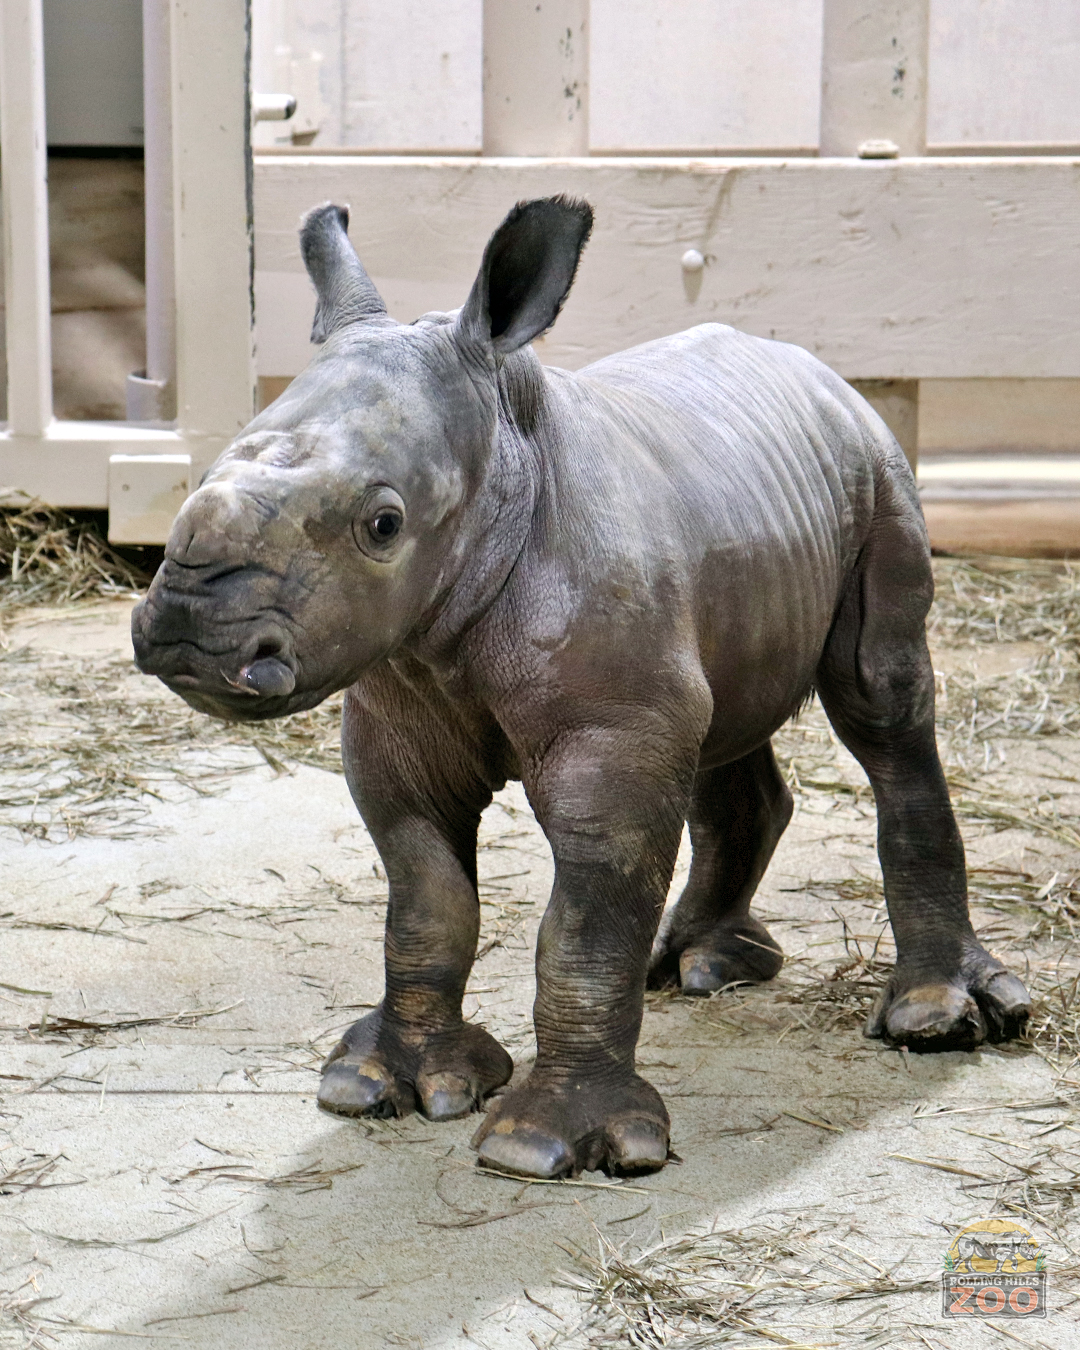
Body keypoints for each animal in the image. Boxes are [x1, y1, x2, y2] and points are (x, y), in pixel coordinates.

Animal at [132, 196, 1030, 1180]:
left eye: (384, 525)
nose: (187, 627)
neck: (504, 462)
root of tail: (826, 373)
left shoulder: (612, 738)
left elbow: (585, 924)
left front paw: (545, 1146)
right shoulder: (399, 717)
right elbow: (426, 902)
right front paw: (384, 1088)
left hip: (879, 476)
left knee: (883, 710)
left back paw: (936, 1021)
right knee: (724, 725)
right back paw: (699, 969)